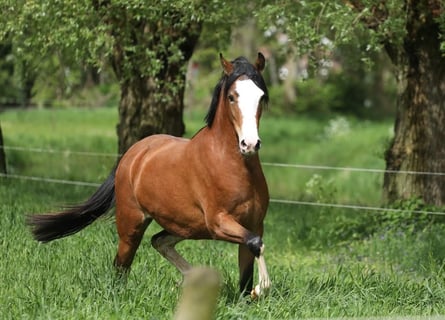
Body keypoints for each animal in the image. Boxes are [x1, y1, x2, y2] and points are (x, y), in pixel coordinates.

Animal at [28, 52, 270, 298]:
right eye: (232, 97)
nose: (250, 144)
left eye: (261, 96)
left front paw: (251, 293)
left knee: (158, 241)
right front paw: (261, 288)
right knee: (122, 264)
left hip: (185, 226)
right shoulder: (218, 222)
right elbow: (256, 244)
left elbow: (247, 271)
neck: (231, 166)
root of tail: (133, 153)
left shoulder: (253, 224)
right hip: (132, 224)